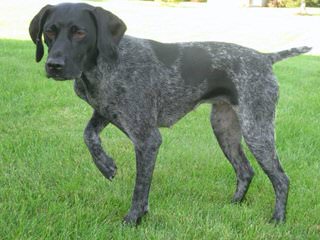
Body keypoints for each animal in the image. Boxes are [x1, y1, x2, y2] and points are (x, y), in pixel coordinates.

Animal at [29, 2, 310, 225]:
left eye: (80, 33)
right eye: (49, 31)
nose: (54, 66)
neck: (103, 66)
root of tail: (265, 58)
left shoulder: (147, 139)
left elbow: (140, 188)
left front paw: (133, 219)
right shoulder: (106, 111)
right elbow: (88, 135)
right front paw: (106, 166)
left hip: (257, 130)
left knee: (281, 179)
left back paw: (278, 219)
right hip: (225, 129)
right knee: (245, 171)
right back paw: (234, 205)